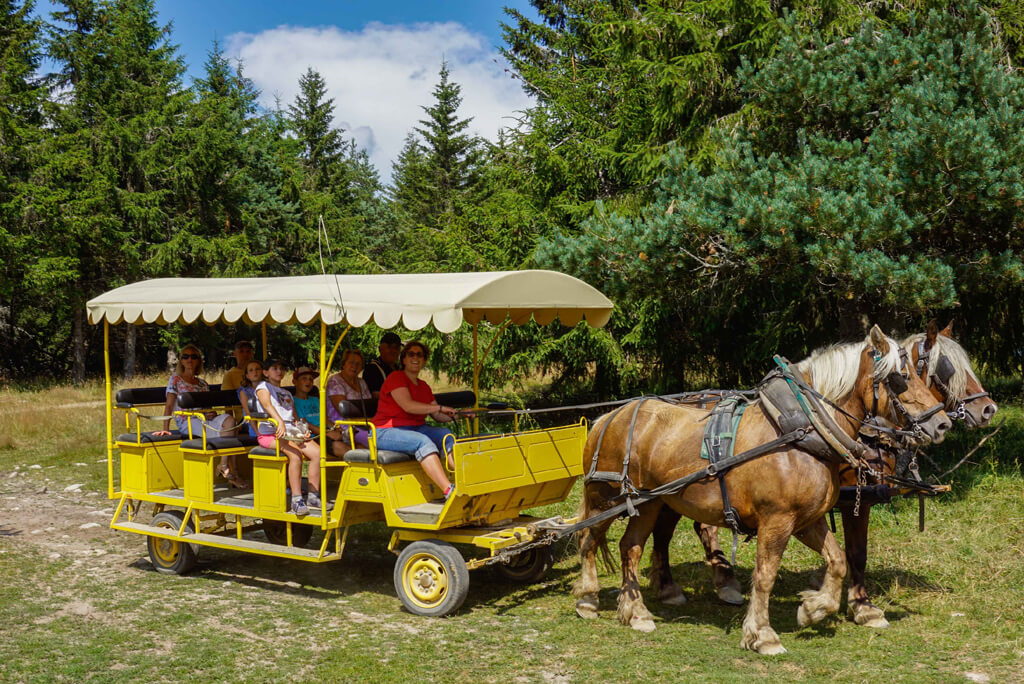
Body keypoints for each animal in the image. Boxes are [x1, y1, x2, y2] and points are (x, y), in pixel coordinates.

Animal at [577, 325, 950, 651]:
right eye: (901, 378)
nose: (942, 423)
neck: (802, 428)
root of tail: (608, 416)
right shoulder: (777, 521)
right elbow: (765, 575)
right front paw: (762, 634)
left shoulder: (806, 520)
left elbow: (838, 560)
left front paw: (813, 608)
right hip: (604, 499)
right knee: (589, 539)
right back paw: (588, 599)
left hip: (649, 503)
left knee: (630, 548)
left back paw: (636, 612)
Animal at [647, 321, 999, 630]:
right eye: (948, 369)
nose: (987, 409)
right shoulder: (854, 501)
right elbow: (856, 553)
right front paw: (863, 606)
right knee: (672, 531)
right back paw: (685, 585)